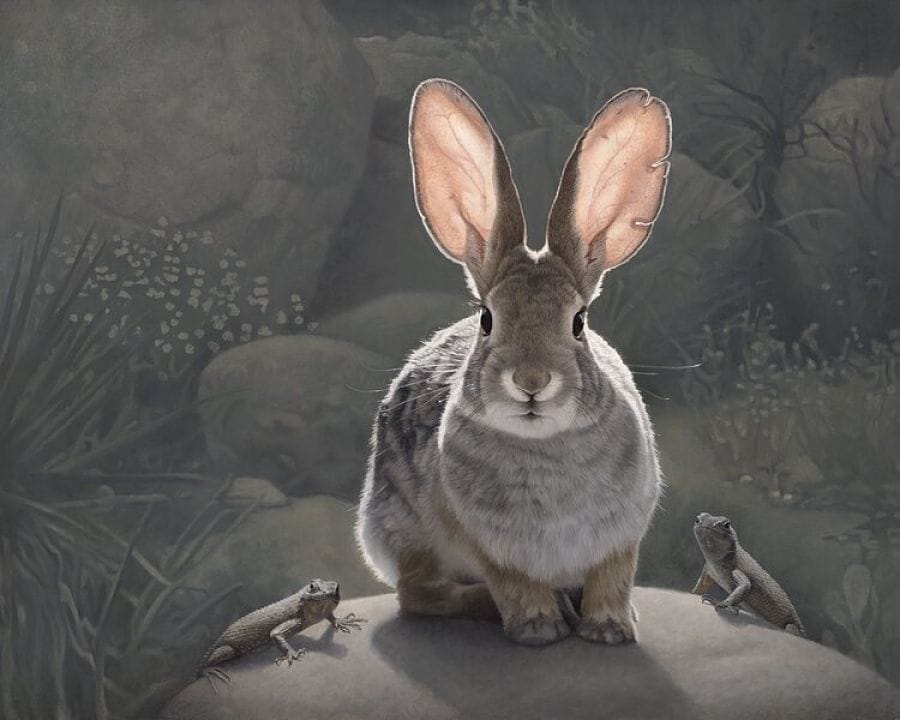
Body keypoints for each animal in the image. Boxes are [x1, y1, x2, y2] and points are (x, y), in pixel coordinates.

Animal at [356, 78, 671, 647]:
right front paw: (539, 628)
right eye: (487, 319)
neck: (543, 445)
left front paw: (609, 629)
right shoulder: (490, 547)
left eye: (578, 322)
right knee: (417, 595)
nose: (531, 381)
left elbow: (613, 578)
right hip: (406, 529)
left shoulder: (621, 538)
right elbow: (514, 584)